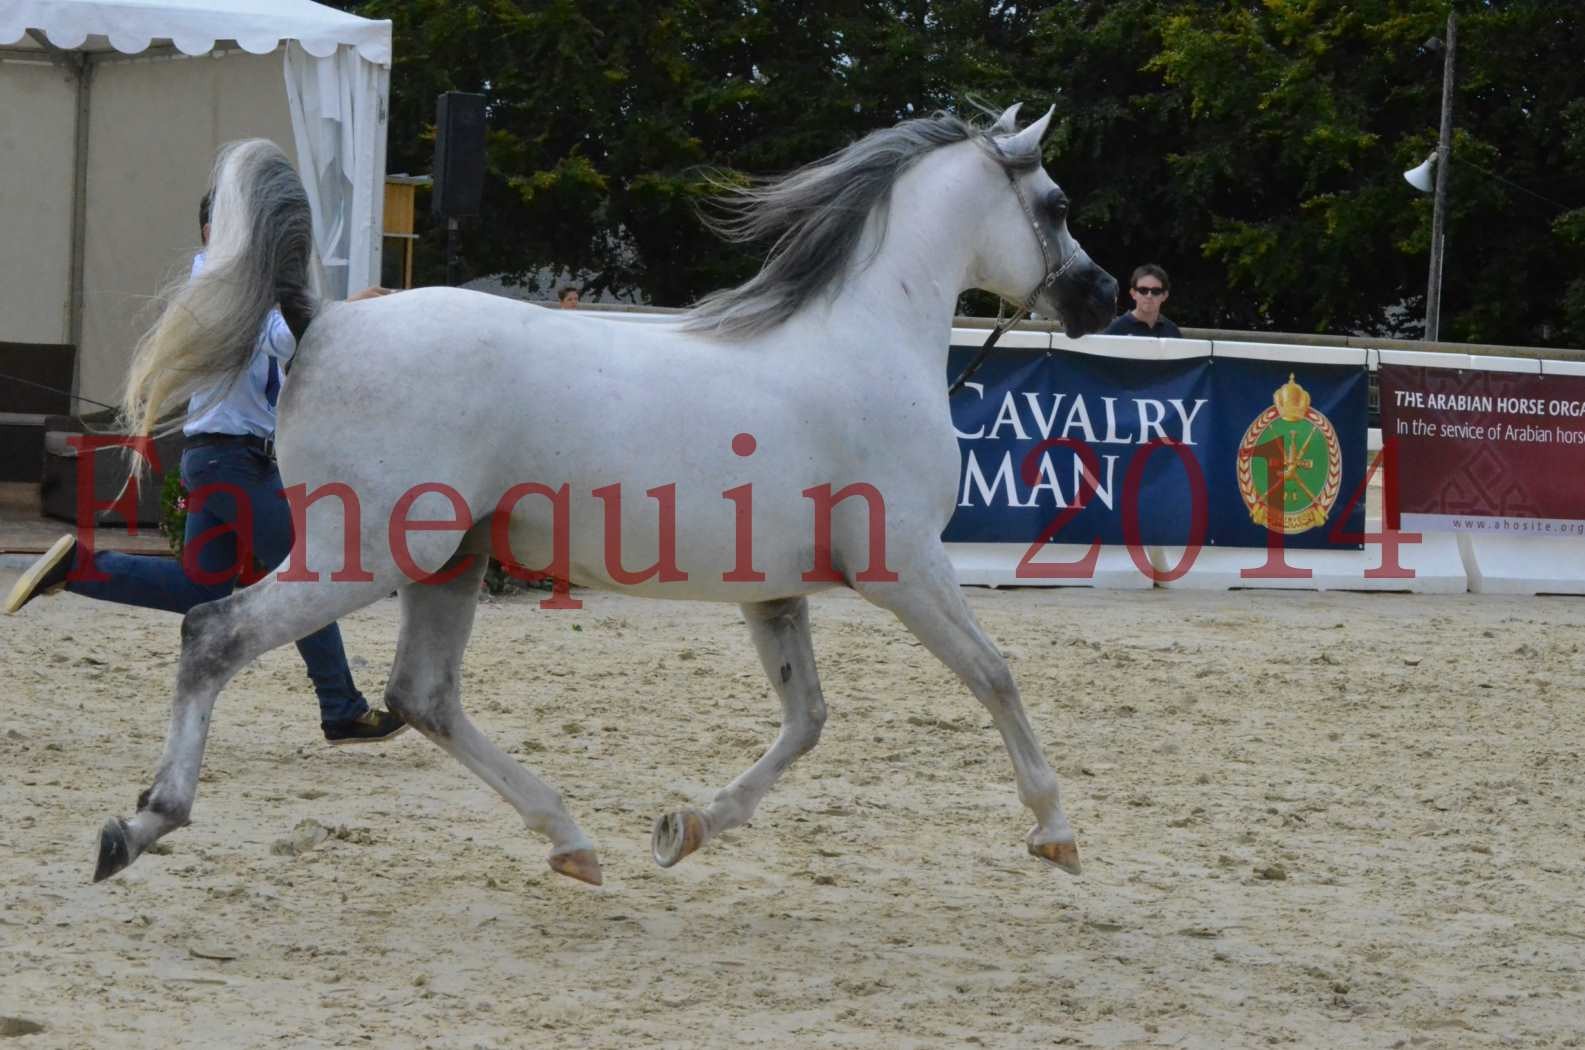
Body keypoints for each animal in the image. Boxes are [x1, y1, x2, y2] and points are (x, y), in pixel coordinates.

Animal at [95, 104, 1115, 888]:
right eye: (1057, 204)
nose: (1102, 296)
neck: (863, 346)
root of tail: (325, 318)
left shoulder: (773, 593)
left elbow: (807, 720)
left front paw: (684, 828)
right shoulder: (905, 568)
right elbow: (993, 675)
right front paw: (1054, 831)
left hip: (447, 560)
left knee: (423, 695)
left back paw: (572, 841)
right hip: (364, 555)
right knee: (215, 634)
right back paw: (141, 824)